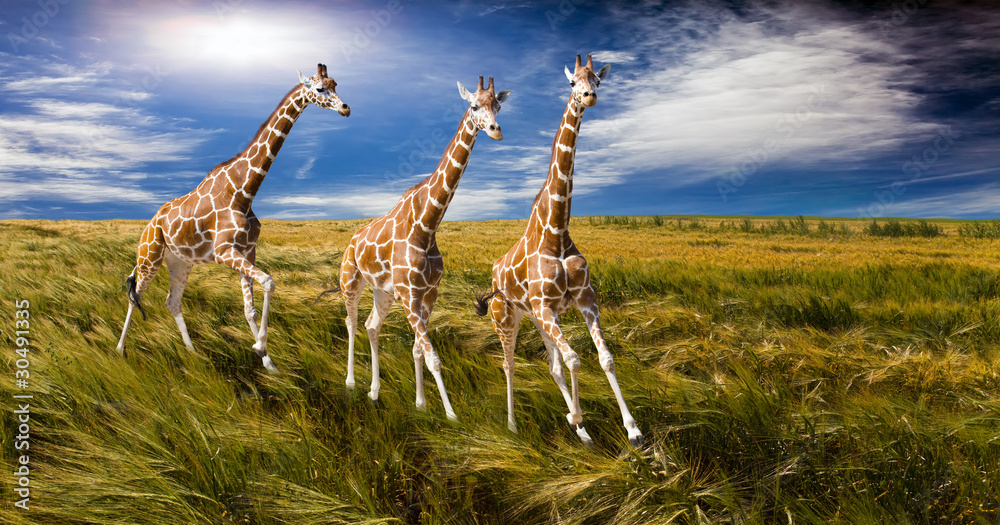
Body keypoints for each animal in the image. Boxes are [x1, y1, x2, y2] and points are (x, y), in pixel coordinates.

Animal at [116, 63, 350, 371]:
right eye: (321, 88)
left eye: (336, 83)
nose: (346, 108)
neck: (244, 190)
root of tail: (150, 223)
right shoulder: (224, 251)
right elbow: (269, 281)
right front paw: (260, 346)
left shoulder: (247, 251)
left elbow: (250, 308)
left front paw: (269, 363)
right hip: (149, 256)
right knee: (135, 297)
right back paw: (119, 350)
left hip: (179, 262)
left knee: (172, 301)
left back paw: (193, 353)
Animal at [328, 76, 508, 420]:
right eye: (473, 105)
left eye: (498, 105)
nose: (495, 130)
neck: (427, 223)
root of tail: (350, 242)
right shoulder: (410, 297)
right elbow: (433, 356)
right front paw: (451, 415)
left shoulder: (428, 295)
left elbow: (417, 350)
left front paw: (421, 404)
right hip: (350, 282)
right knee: (351, 322)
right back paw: (350, 382)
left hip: (383, 292)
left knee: (372, 326)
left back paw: (374, 391)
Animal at [475, 54, 643, 446]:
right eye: (571, 82)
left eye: (597, 78)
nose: (589, 96)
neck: (556, 229)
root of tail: (493, 273)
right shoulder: (548, 308)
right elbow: (576, 360)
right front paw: (576, 416)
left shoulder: (584, 298)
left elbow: (603, 358)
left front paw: (632, 430)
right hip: (507, 319)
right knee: (509, 364)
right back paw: (512, 426)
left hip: (536, 318)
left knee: (552, 365)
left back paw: (578, 429)